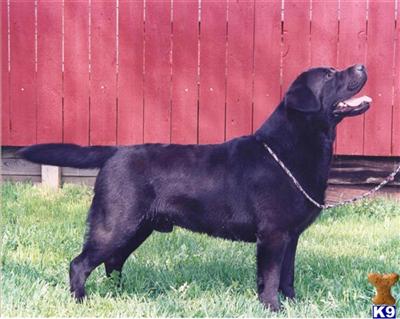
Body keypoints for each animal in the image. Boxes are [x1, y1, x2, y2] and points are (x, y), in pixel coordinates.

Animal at [19, 63, 372, 312]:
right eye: (330, 74)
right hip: (116, 223)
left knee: (113, 262)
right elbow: (271, 279)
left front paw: (294, 306)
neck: (286, 150)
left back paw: (119, 295)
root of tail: (115, 151)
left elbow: (288, 277)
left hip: (137, 227)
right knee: (80, 263)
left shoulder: (291, 236)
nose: (361, 65)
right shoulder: (272, 235)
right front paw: (272, 309)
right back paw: (81, 301)